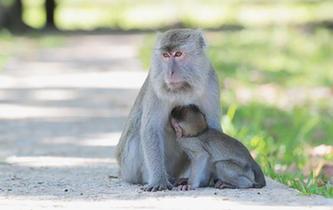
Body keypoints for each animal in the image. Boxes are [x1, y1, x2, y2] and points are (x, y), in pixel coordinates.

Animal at [115, 28, 222, 192]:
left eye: (178, 54)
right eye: (165, 55)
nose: (170, 73)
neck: (184, 89)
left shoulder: (211, 84)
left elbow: (212, 127)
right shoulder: (156, 88)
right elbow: (150, 129)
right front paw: (159, 181)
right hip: (129, 169)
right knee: (137, 136)